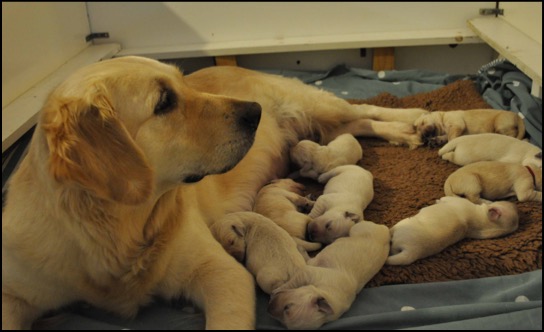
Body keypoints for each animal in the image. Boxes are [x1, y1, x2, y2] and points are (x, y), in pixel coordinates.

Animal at [386, 196, 520, 266]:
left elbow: (447, 198)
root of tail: (412, 252)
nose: (515, 204)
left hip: (401, 225)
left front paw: (439, 200)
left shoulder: (455, 200)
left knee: (391, 233)